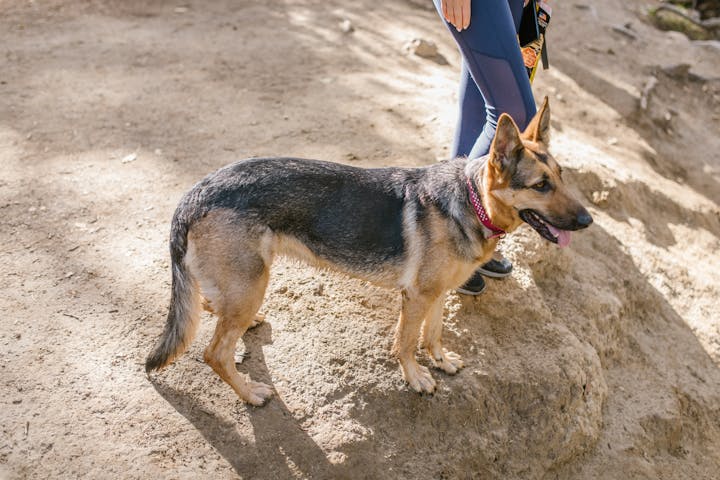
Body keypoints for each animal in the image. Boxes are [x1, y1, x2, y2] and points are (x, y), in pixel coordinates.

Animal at [145, 97, 592, 404]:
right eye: (540, 186)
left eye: (562, 176)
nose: (588, 221)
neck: (470, 200)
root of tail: (195, 193)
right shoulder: (415, 297)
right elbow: (407, 341)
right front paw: (415, 377)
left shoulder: (436, 294)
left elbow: (434, 332)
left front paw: (441, 360)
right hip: (251, 282)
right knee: (214, 353)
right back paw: (251, 393)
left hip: (245, 283)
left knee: (210, 306)